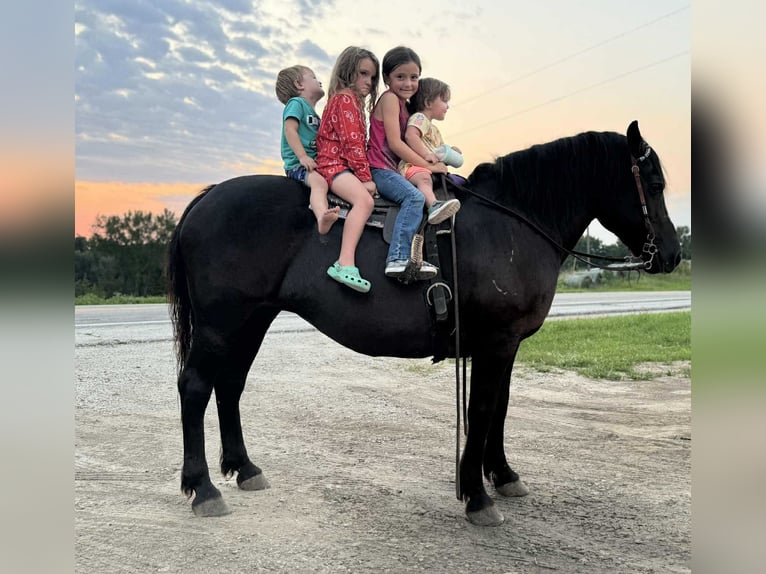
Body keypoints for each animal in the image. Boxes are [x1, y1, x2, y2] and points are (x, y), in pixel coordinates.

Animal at [167, 120, 681, 526]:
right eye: (654, 183)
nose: (672, 255)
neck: (514, 223)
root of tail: (207, 199)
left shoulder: (507, 345)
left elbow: (500, 408)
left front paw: (503, 475)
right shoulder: (495, 343)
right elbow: (482, 411)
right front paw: (476, 496)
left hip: (250, 321)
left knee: (230, 385)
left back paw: (244, 468)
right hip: (220, 325)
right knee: (196, 387)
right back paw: (202, 487)